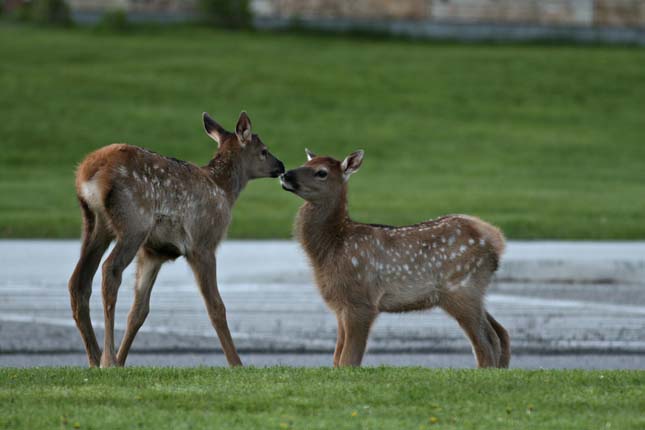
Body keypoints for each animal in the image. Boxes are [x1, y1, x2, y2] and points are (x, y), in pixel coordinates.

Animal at [67, 111, 284, 366]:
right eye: (264, 150)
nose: (281, 166)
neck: (224, 190)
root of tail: (88, 172)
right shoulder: (202, 242)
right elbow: (216, 307)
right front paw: (237, 364)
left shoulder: (153, 252)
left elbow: (138, 311)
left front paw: (122, 361)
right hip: (134, 222)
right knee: (110, 269)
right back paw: (106, 359)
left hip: (95, 224)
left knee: (78, 280)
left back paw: (95, 358)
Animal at [280, 149, 510, 368]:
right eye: (306, 162)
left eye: (321, 172)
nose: (285, 174)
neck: (332, 247)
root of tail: (495, 237)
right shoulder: (340, 304)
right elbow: (336, 359)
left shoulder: (362, 300)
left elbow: (348, 360)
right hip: (472, 292)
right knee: (501, 333)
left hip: (461, 288)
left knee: (487, 341)